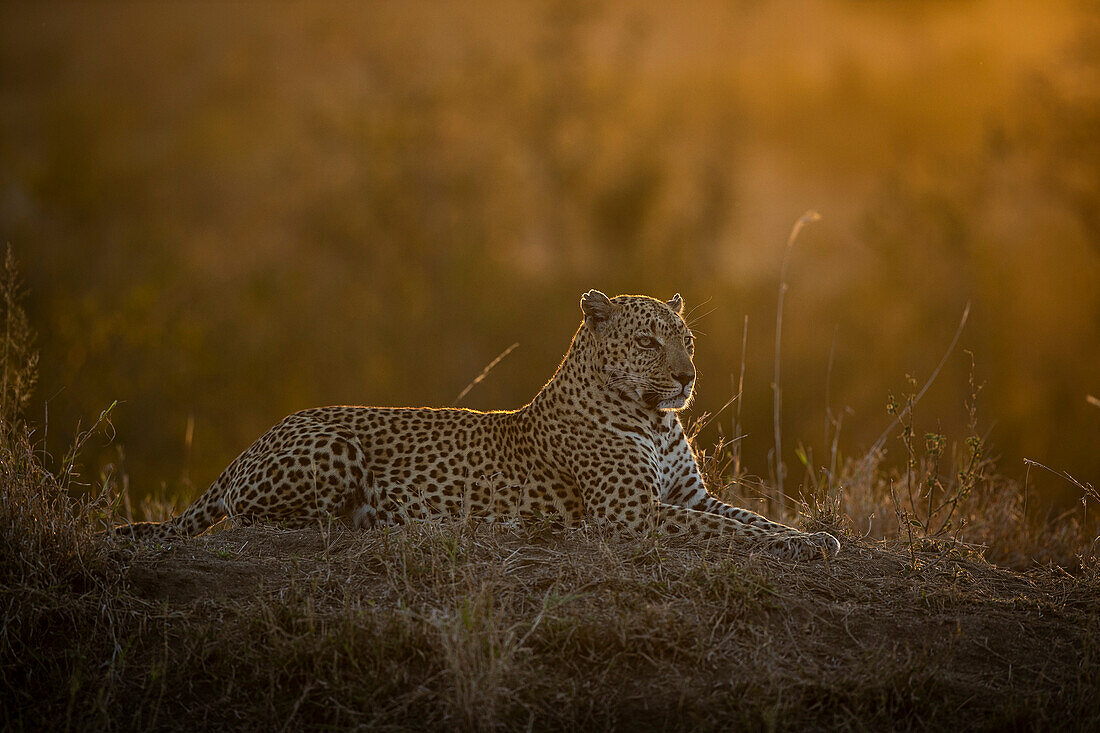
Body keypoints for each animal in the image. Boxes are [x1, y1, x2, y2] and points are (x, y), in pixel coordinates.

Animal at [111, 290, 836, 559]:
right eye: (648, 343)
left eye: (685, 339)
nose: (688, 379)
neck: (654, 419)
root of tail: (253, 440)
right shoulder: (630, 513)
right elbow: (729, 531)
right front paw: (806, 546)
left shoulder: (689, 496)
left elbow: (747, 518)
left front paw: (817, 536)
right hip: (332, 448)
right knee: (263, 518)